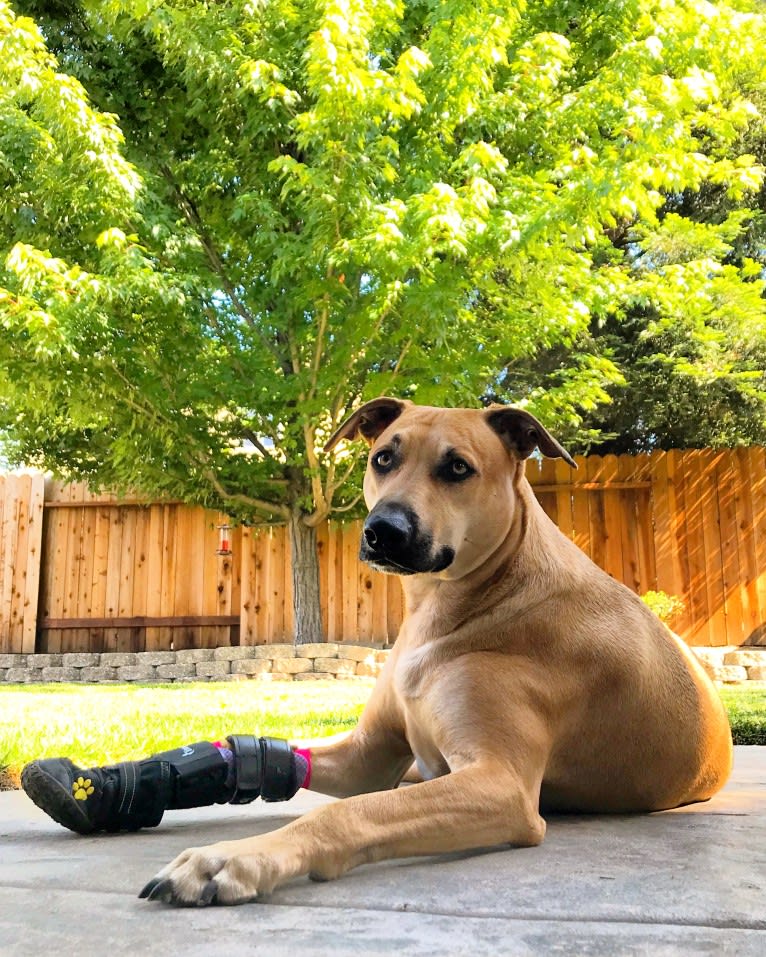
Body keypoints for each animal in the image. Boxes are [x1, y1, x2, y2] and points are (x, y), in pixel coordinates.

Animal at [146, 398, 736, 904]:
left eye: (457, 468)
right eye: (383, 457)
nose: (382, 530)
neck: (463, 600)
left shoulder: (500, 785)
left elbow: (352, 813)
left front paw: (235, 858)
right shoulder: (367, 758)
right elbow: (306, 766)